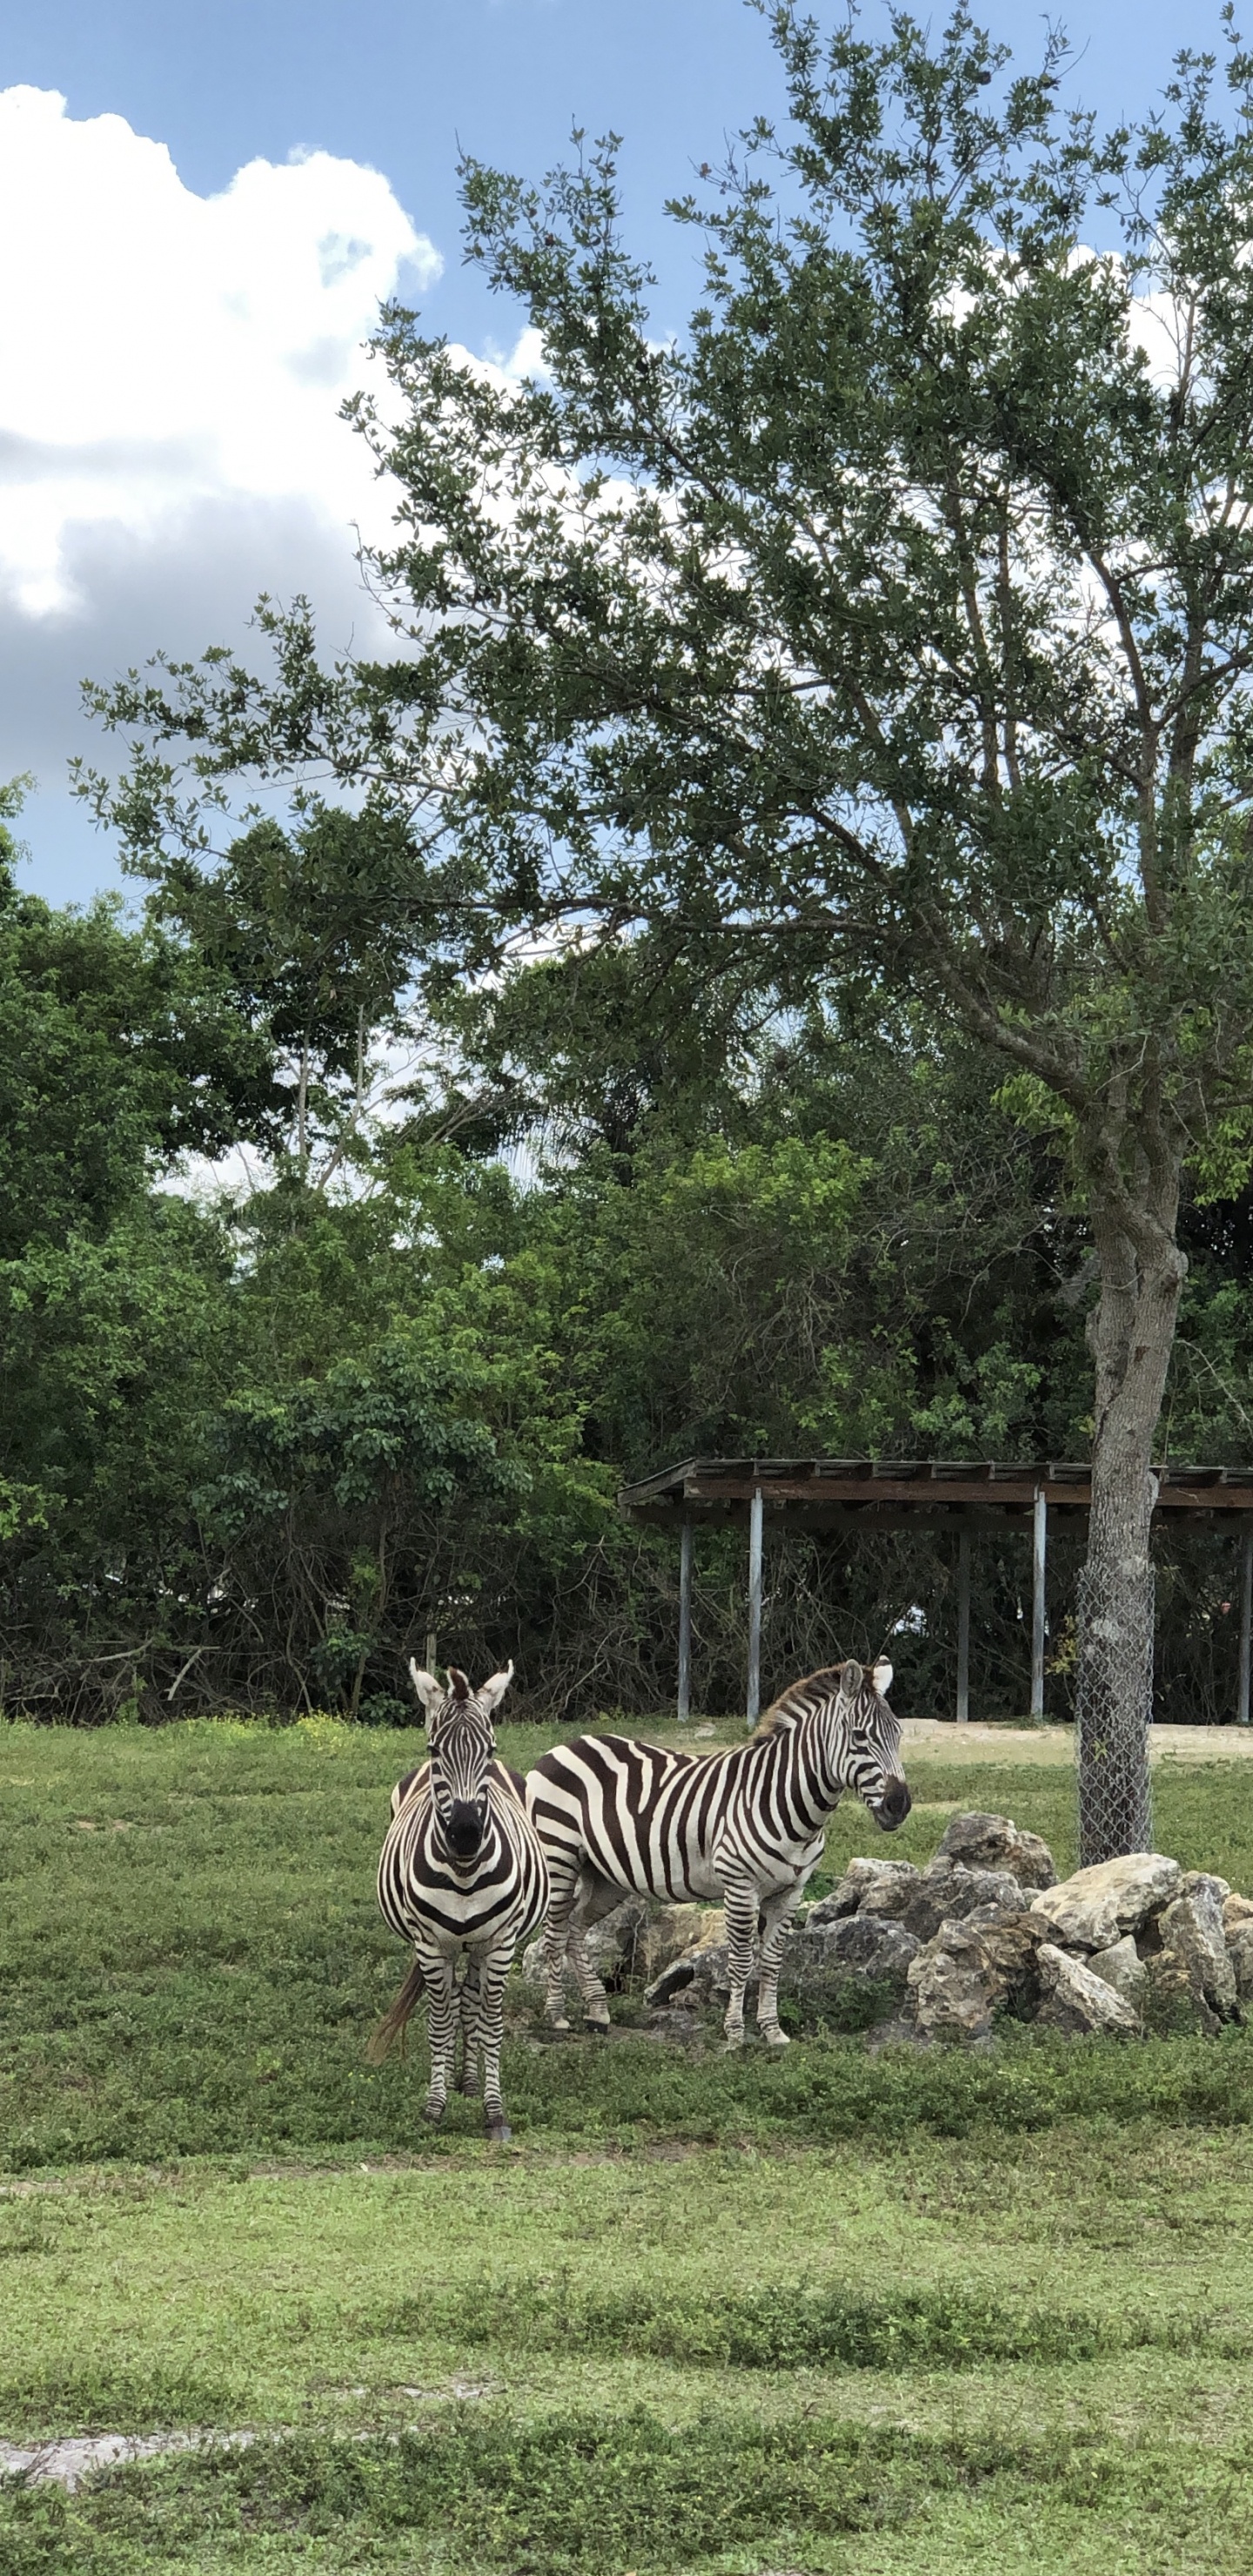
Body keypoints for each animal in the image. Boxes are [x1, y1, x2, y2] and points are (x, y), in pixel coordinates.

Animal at [368, 1660, 549, 2142]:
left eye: (489, 1749)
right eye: (434, 1750)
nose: (466, 1835)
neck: (465, 1872)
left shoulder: (502, 1945)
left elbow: (491, 2023)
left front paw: (494, 2110)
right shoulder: (431, 1946)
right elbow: (438, 2021)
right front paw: (434, 2107)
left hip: (481, 1946)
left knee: (468, 2000)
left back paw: (467, 2080)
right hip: (446, 1947)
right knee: (452, 2003)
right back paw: (453, 2078)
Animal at [526, 1659, 910, 2050]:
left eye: (898, 1735)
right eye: (860, 1737)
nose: (899, 1806)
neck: (786, 1800)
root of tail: (565, 1745)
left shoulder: (790, 1892)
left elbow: (772, 1962)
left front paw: (773, 2032)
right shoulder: (740, 1885)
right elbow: (740, 1961)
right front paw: (736, 2034)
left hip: (606, 1876)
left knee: (575, 1928)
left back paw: (597, 2012)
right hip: (559, 1857)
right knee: (555, 1932)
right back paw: (557, 2016)